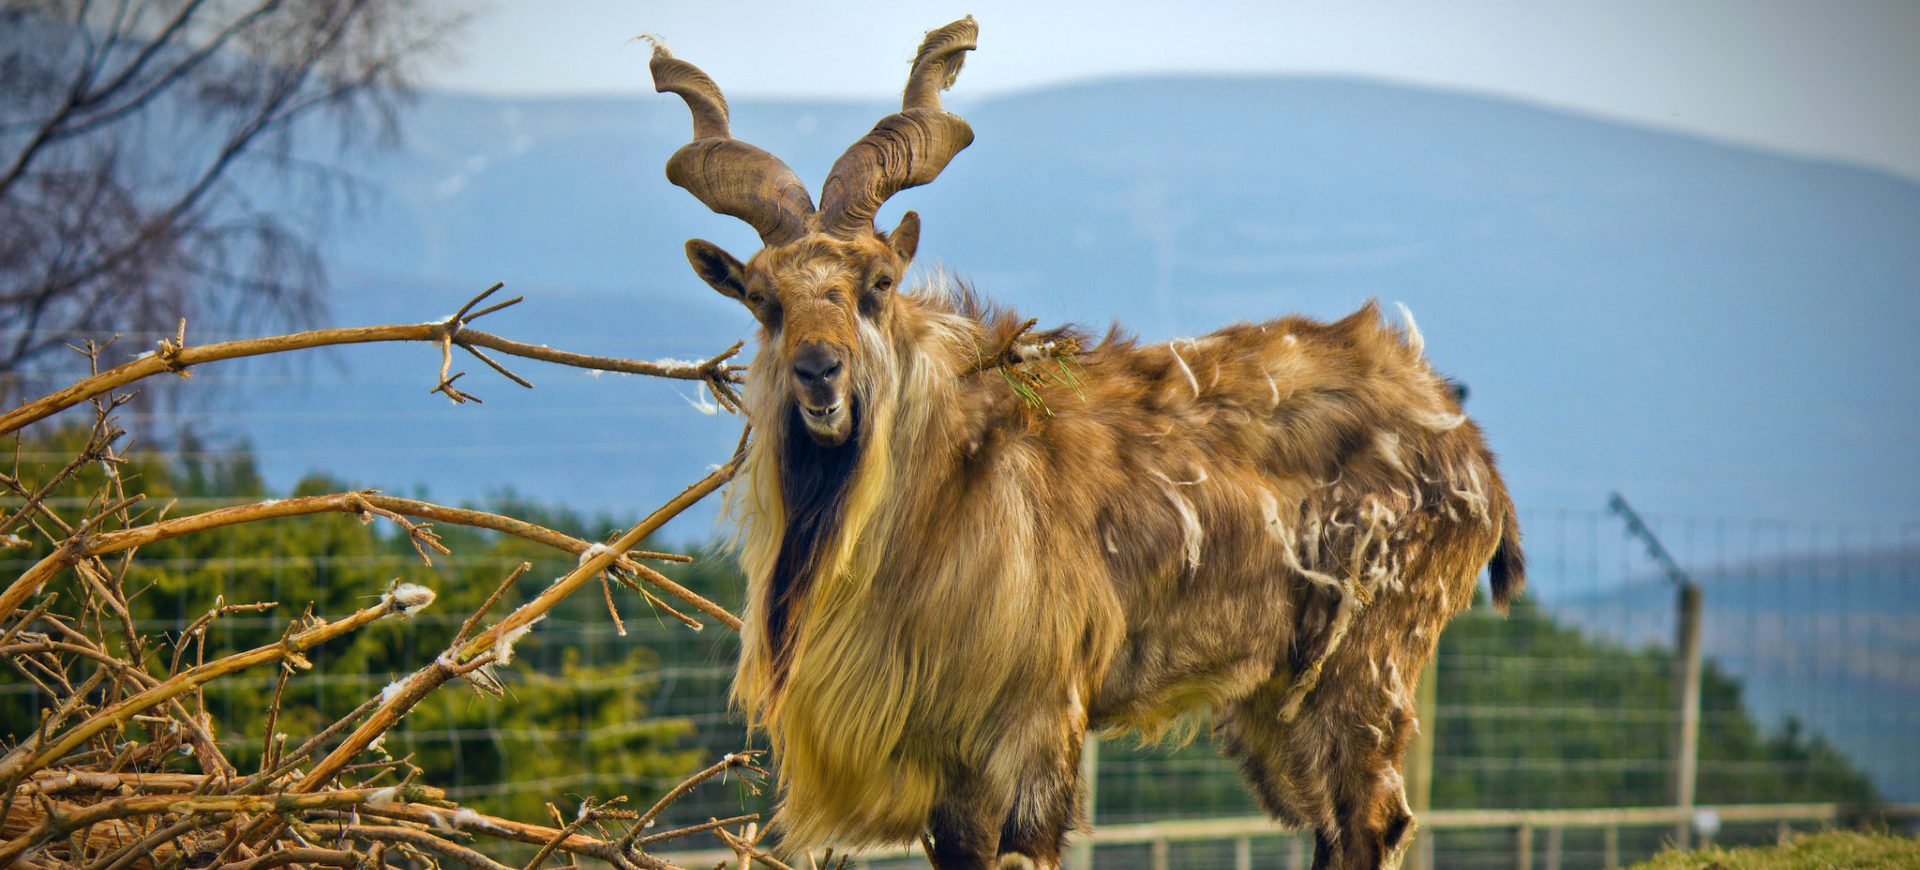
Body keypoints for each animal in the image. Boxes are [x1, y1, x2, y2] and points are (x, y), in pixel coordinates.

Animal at [652, 18, 1520, 868]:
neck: (948, 480)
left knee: (1375, 823)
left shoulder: (1037, 727)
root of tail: (1472, 451)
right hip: (1279, 704)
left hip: (1365, 674)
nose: (819, 373)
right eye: (763, 298)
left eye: (878, 283)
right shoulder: (950, 773)